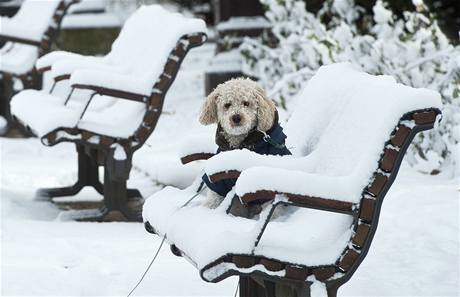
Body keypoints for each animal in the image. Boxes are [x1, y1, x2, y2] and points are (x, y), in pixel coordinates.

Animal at [199, 78, 292, 217]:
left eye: (246, 103)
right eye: (227, 105)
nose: (236, 117)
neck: (239, 146)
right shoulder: (218, 184)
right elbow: (213, 198)